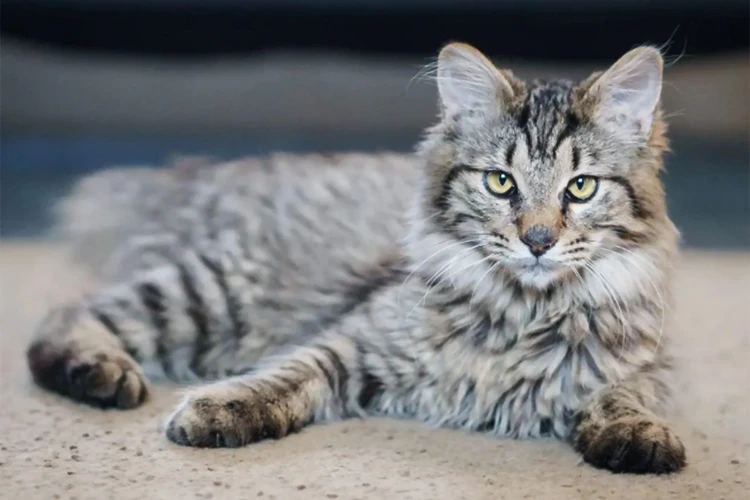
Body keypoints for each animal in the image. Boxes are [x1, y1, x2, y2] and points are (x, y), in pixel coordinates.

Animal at [25, 42, 688, 472]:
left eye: (582, 187)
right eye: (501, 183)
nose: (538, 240)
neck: (521, 314)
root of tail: (214, 175)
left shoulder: (649, 365)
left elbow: (626, 394)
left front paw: (639, 437)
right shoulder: (355, 341)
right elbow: (283, 376)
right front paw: (217, 409)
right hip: (218, 299)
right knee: (64, 318)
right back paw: (99, 374)